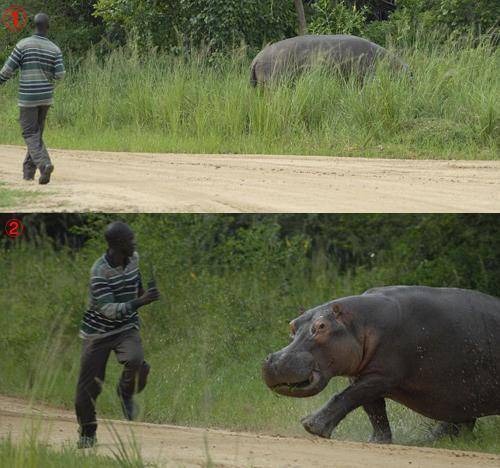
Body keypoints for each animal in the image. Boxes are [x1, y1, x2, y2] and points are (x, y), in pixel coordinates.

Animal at [262, 286, 500, 442]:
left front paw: (311, 426)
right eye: (293, 325)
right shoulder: (363, 375)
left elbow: (347, 397)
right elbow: (373, 410)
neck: (360, 323)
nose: (275, 361)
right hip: (462, 395)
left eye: (321, 326)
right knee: (459, 421)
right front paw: (378, 441)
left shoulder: (381, 376)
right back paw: (427, 440)